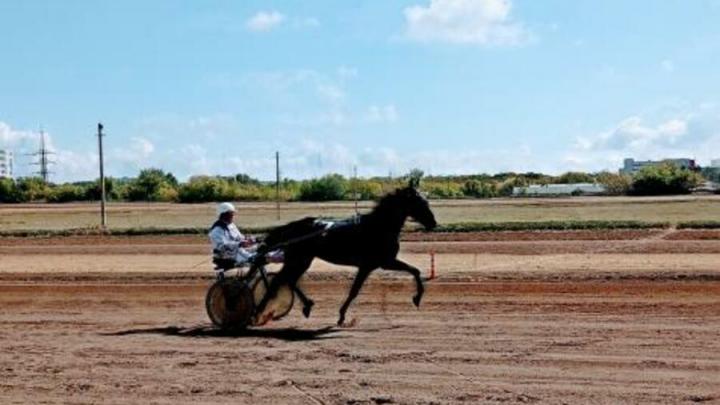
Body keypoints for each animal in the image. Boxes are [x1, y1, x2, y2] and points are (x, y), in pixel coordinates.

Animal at [256, 186, 436, 326]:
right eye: (420, 203)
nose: (433, 223)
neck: (379, 227)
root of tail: (292, 227)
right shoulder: (380, 263)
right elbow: (355, 291)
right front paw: (417, 298)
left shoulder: (376, 264)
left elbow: (414, 271)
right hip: (298, 259)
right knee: (281, 280)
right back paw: (263, 311)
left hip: (303, 260)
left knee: (288, 280)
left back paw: (306, 306)